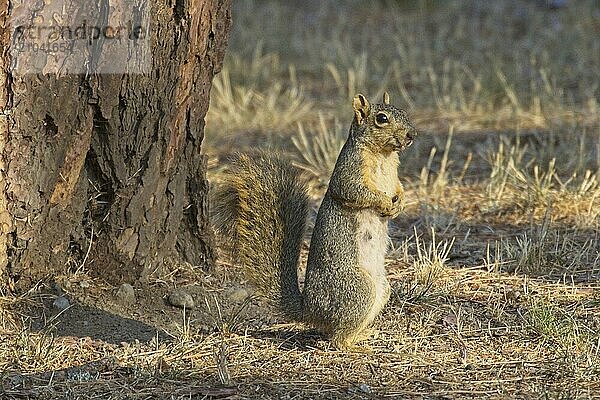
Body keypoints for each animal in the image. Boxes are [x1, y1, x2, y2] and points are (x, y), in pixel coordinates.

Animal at [214, 92, 418, 348]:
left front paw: (399, 203)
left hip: (382, 289)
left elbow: (399, 187)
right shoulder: (349, 170)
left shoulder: (394, 174)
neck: (384, 155)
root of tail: (309, 310)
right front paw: (384, 203)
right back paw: (354, 346)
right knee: (336, 338)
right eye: (382, 119)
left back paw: (363, 334)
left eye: (403, 112)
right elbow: (354, 191)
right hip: (359, 289)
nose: (412, 135)